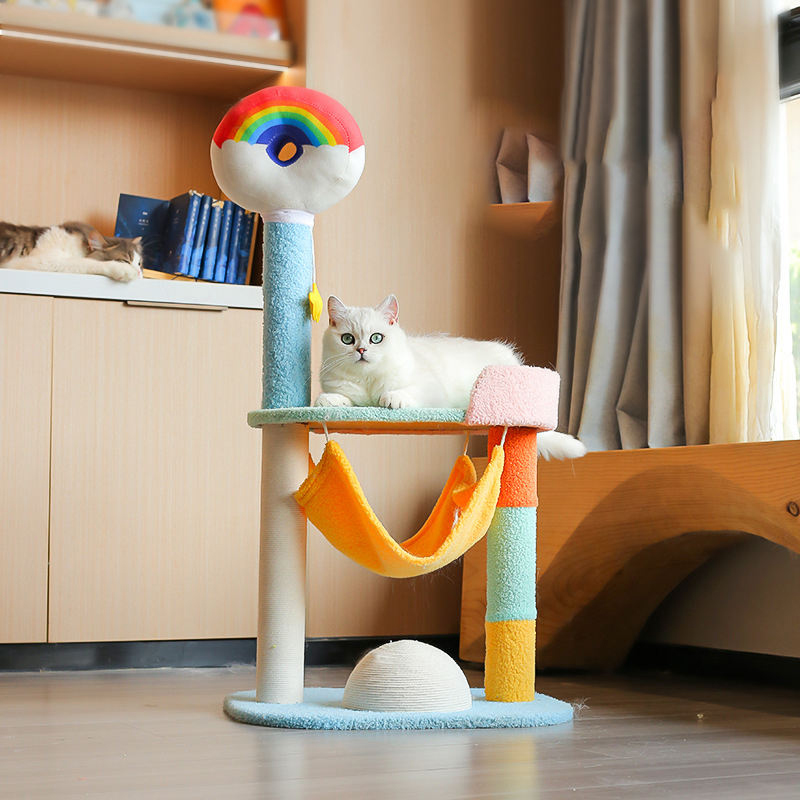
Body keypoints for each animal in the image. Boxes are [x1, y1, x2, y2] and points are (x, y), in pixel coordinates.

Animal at [0, 221, 143, 282]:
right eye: (125, 260)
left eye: (140, 263)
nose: (139, 272)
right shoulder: (40, 261)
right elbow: (85, 263)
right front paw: (123, 270)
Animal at [316, 294, 586, 460]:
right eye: (347, 339)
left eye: (376, 338)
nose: (361, 350)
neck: (368, 380)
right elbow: (340, 397)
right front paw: (326, 401)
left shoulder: (430, 389)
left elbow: (404, 391)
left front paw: (392, 399)